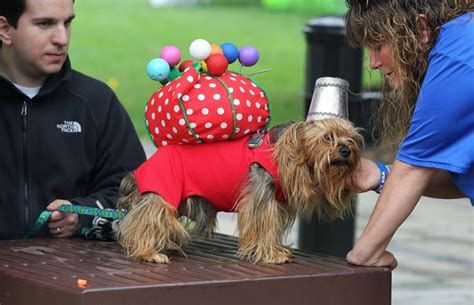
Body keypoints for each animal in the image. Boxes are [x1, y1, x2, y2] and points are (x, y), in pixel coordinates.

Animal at [115, 118, 362, 264]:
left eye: (352, 139)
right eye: (327, 137)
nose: (346, 151)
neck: (283, 152)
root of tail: (141, 170)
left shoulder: (275, 202)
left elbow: (272, 226)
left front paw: (276, 248)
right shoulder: (260, 194)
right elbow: (263, 224)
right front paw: (271, 254)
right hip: (162, 192)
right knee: (143, 219)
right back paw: (148, 252)